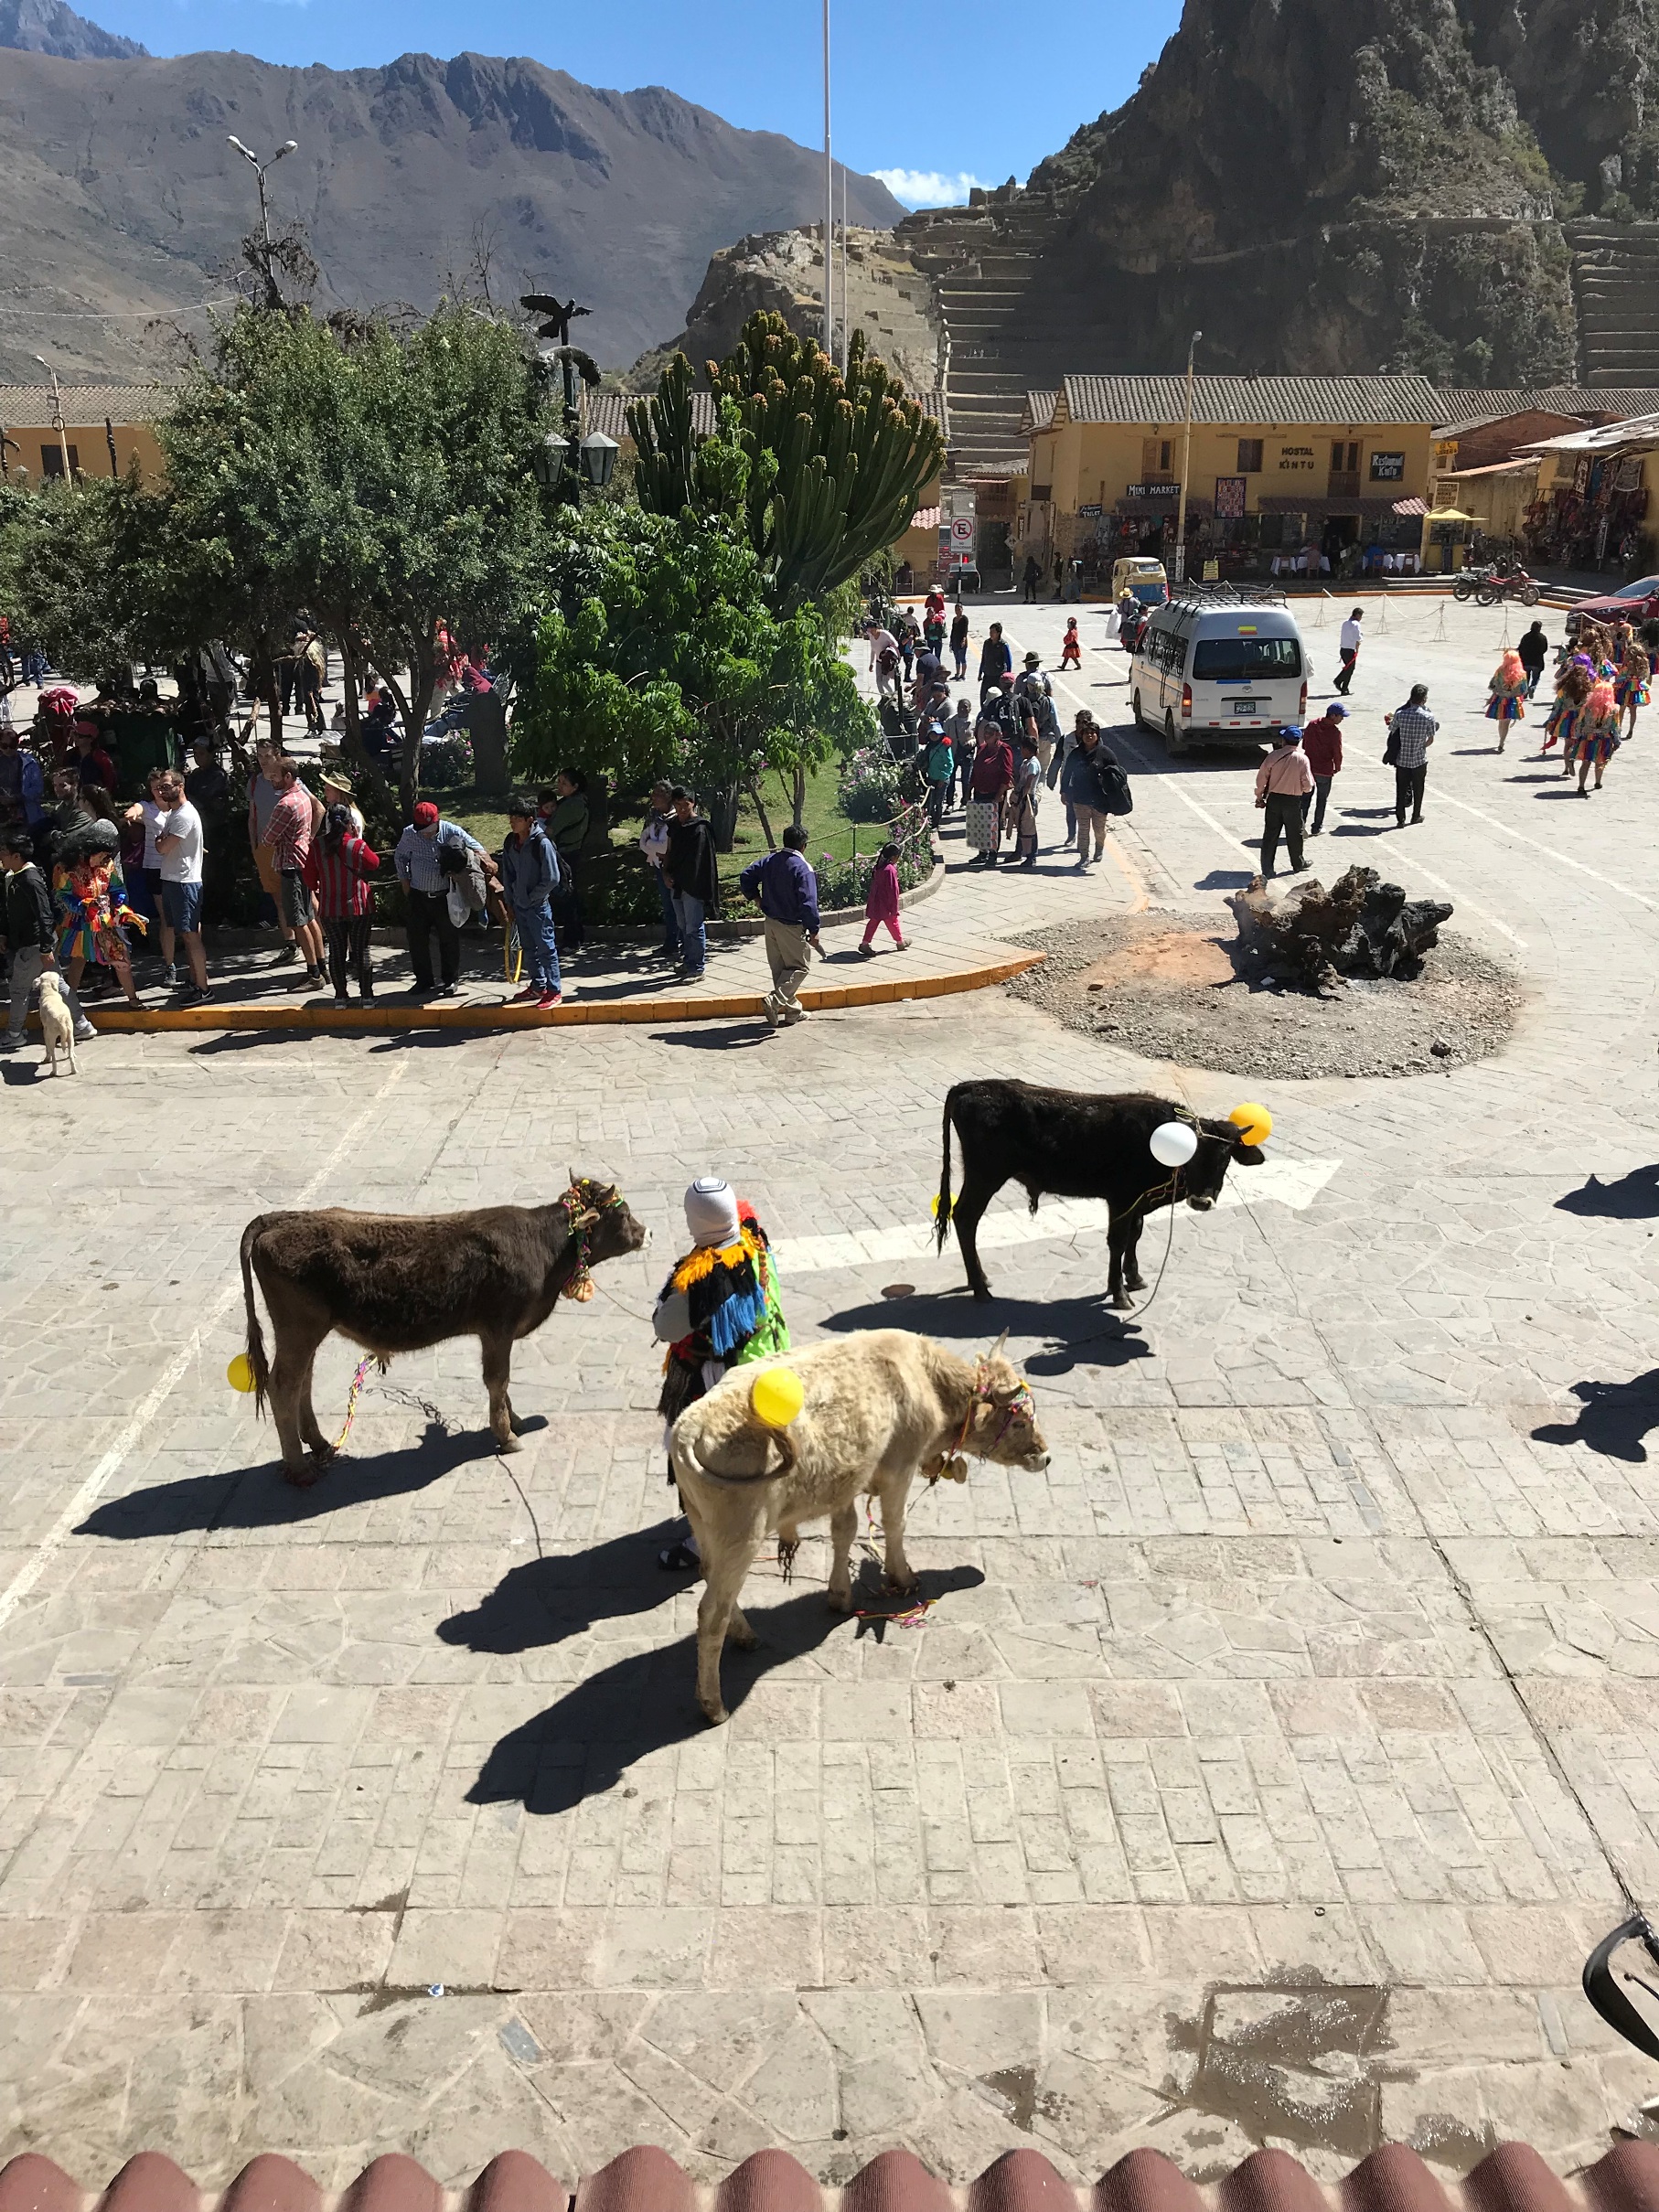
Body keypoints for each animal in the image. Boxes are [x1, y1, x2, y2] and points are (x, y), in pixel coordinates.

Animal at [240, 1176, 650, 1486]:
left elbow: (501, 1384)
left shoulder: (494, 1334)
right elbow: (498, 1380)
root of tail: (280, 1219)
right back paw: (299, 1469)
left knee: (302, 1381)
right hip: (299, 1328)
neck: (543, 1244)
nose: (647, 1232)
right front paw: (507, 1435)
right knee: (284, 1386)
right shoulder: (499, 1327)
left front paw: (514, 1421)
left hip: (305, 1331)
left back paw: (320, 1443)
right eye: (624, 1213)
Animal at [942, 1079, 1265, 1300]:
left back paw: (979, 1280)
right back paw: (981, 1288)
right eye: (1192, 1154)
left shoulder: (1137, 1203)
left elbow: (1135, 1234)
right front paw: (1119, 1293)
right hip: (985, 1177)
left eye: (1225, 1157)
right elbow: (1118, 1241)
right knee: (965, 1218)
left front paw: (1134, 1278)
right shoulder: (1121, 1199)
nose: (1201, 1201)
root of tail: (970, 1086)